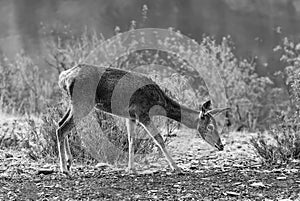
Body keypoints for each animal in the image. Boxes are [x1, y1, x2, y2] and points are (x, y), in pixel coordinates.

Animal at [56, 63, 230, 174]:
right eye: (210, 126)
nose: (221, 145)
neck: (158, 103)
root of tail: (64, 77)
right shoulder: (142, 113)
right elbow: (159, 139)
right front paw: (177, 168)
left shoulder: (131, 116)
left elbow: (131, 139)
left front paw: (131, 168)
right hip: (82, 103)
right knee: (62, 129)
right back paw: (64, 169)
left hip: (74, 104)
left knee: (60, 124)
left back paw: (69, 163)